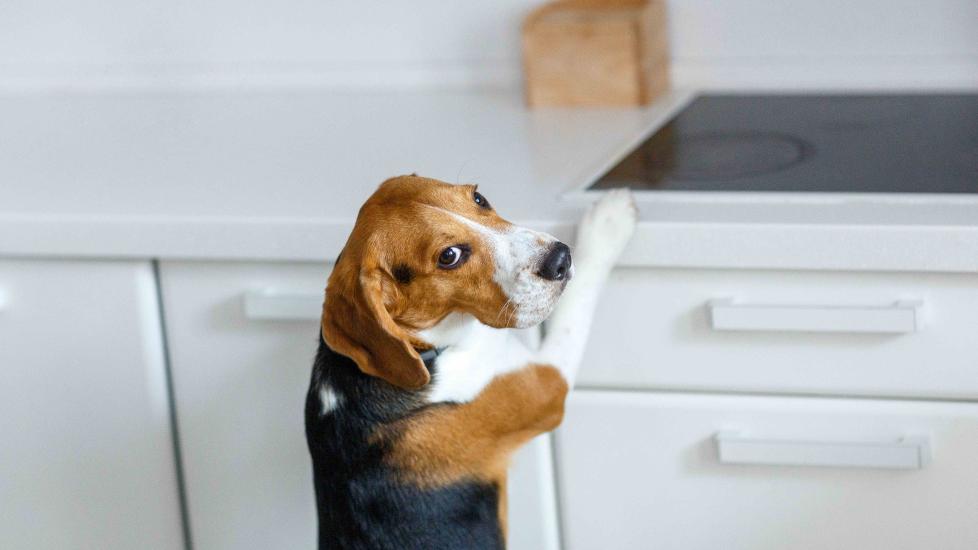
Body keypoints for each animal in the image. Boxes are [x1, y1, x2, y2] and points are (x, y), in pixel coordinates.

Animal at [308, 176, 636, 548]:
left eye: (479, 198)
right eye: (449, 256)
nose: (560, 259)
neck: (428, 351)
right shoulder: (547, 383)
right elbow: (574, 308)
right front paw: (609, 222)